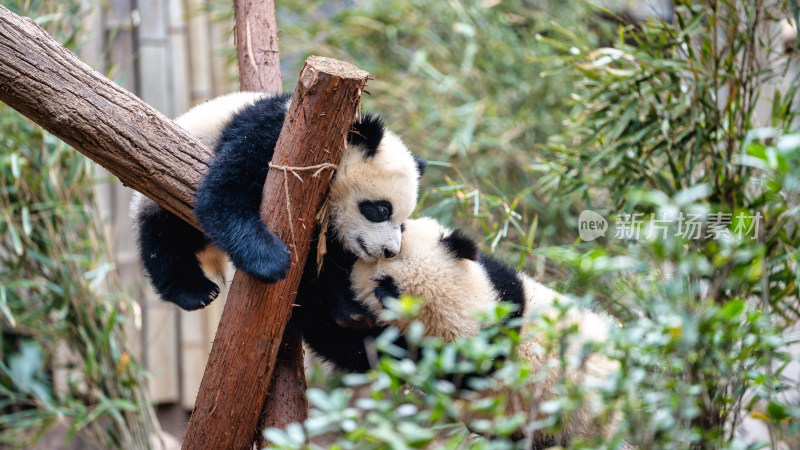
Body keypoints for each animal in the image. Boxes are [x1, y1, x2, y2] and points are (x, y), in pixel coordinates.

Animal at [131, 91, 428, 342]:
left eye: (402, 223)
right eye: (382, 210)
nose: (390, 251)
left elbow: (327, 266)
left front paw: (350, 311)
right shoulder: (273, 139)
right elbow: (224, 192)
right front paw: (271, 261)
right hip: (160, 189)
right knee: (164, 238)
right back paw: (194, 291)